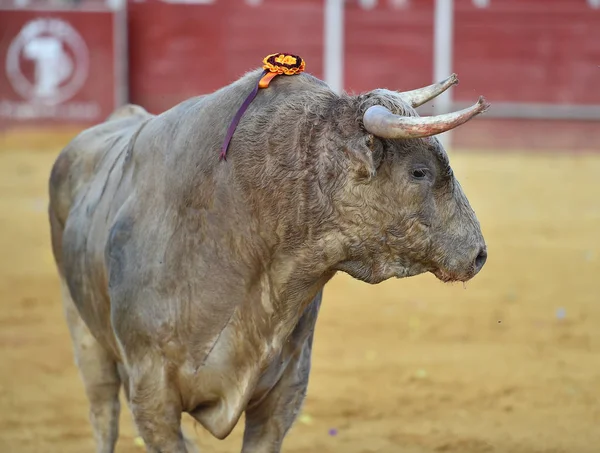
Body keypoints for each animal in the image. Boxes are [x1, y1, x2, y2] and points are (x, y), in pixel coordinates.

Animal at [47, 64, 488, 452]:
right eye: (418, 171)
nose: (479, 253)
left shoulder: (285, 390)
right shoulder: (152, 397)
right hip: (82, 331)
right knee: (103, 413)